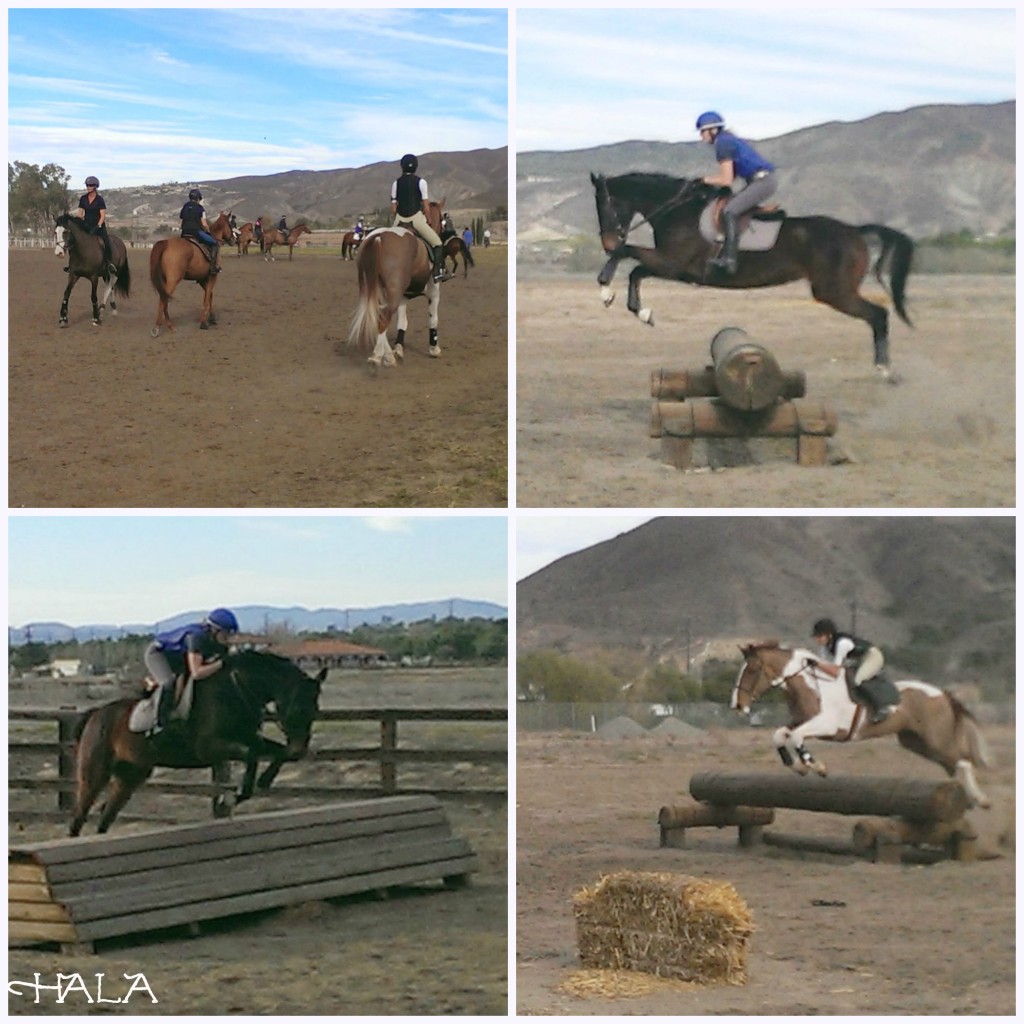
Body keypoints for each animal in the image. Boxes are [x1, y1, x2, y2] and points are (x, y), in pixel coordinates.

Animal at [69, 651, 323, 835]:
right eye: (298, 708)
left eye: (315, 710)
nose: (301, 748)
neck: (237, 688)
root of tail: (94, 714)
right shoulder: (210, 748)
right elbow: (251, 754)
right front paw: (233, 796)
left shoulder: (249, 738)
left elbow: (276, 752)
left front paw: (262, 781)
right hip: (94, 775)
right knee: (79, 816)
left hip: (129, 776)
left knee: (105, 818)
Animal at [346, 195, 446, 368]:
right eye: (441, 219)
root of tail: (378, 237)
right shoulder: (434, 292)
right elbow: (433, 319)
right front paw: (434, 349)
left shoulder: (403, 297)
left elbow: (402, 322)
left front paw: (397, 350)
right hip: (393, 292)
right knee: (383, 318)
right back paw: (377, 357)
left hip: (381, 291)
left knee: (380, 317)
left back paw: (387, 356)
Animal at [589, 172, 917, 376]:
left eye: (609, 205)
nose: (606, 243)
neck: (677, 211)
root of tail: (855, 231)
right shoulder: (670, 266)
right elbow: (634, 268)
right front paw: (639, 310)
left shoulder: (673, 264)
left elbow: (629, 256)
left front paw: (609, 293)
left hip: (834, 291)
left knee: (878, 314)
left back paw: (884, 368)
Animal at [737, 638, 991, 806]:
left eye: (753, 670)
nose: (738, 705)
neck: (812, 687)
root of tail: (942, 693)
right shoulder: (801, 721)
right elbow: (781, 735)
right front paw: (798, 766)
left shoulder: (828, 726)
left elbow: (796, 736)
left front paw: (817, 767)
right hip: (915, 742)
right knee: (954, 764)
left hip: (935, 739)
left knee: (963, 761)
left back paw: (981, 799)